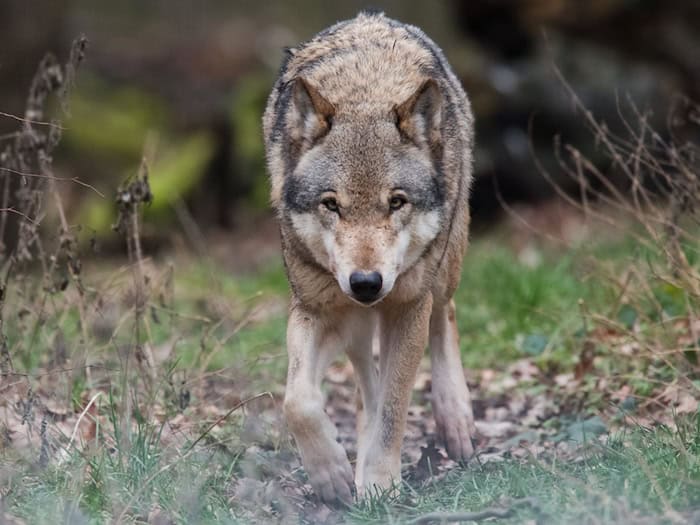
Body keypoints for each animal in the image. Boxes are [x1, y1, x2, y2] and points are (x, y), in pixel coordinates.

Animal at [262, 11, 475, 504]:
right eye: (331, 204)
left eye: (396, 202)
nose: (365, 283)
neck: (365, 92)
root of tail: (372, 17)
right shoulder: (316, 307)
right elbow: (297, 401)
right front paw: (332, 474)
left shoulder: (407, 307)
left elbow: (395, 409)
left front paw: (379, 482)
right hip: (354, 321)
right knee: (364, 378)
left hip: (442, 271)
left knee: (446, 315)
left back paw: (456, 421)